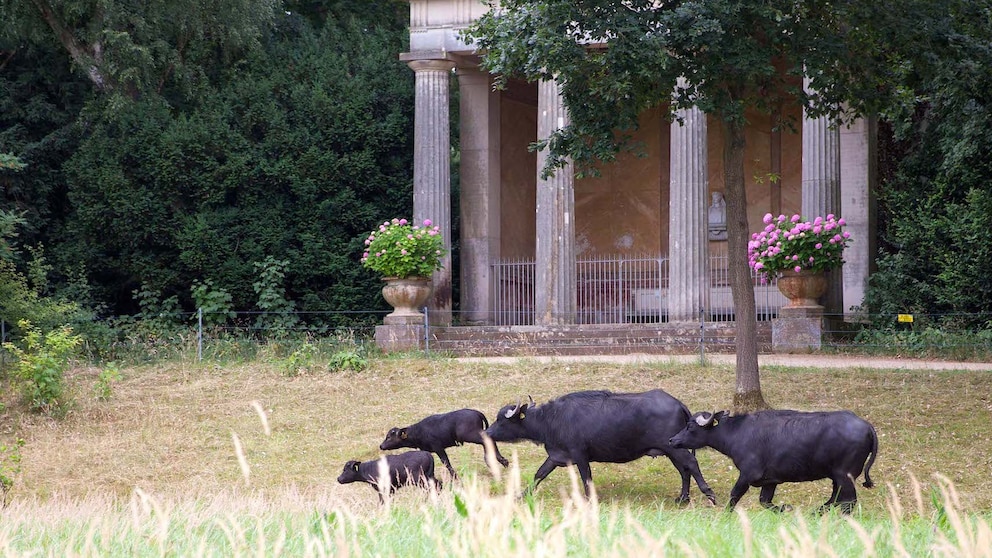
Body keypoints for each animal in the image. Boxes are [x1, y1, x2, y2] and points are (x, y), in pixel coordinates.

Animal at [376, 410, 508, 480]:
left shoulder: (438, 448)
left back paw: (499, 460)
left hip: (471, 435)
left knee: (489, 440)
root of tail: (476, 412)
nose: (381, 446)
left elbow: (446, 462)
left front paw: (455, 477)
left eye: (389, 436)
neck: (419, 431)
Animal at [486, 392, 712, 506]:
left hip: (674, 448)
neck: (552, 420)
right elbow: (539, 474)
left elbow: (586, 478)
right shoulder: (556, 456)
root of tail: (678, 403)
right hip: (672, 448)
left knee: (691, 463)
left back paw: (708, 493)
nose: (487, 432)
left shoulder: (580, 455)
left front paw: (589, 500)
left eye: (501, 420)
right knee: (684, 470)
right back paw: (683, 498)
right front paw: (520, 496)